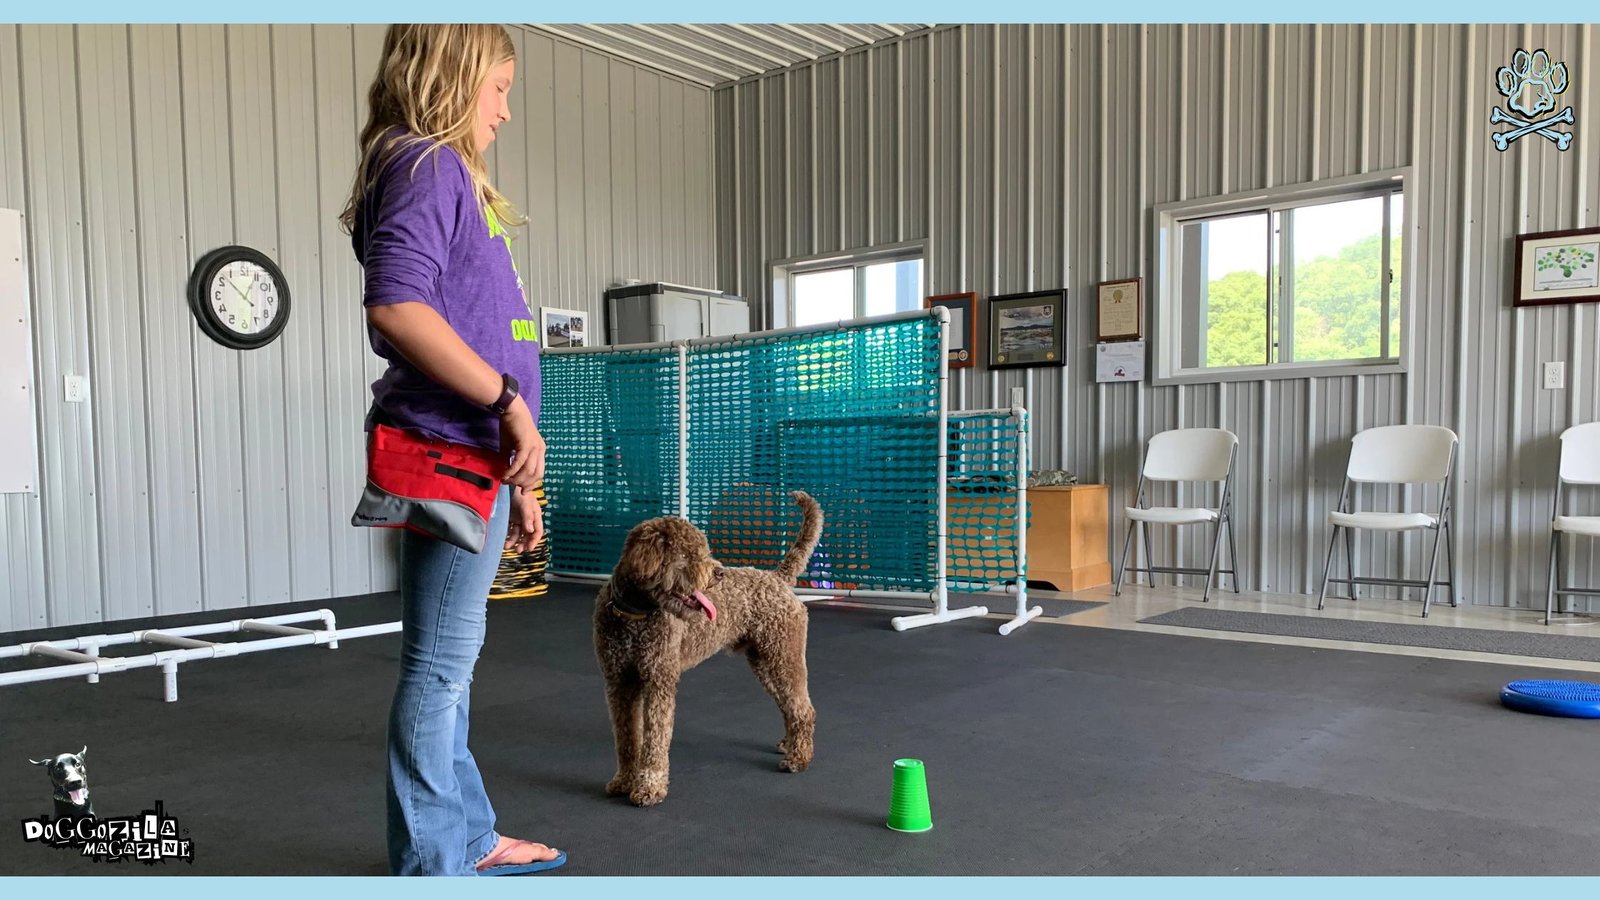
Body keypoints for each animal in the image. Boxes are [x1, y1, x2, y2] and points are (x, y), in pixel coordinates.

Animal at [598, 490, 825, 807]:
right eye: (686, 555)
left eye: (702, 549)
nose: (718, 572)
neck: (635, 616)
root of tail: (777, 578)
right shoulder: (619, 683)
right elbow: (626, 739)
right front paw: (623, 780)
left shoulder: (659, 681)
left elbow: (655, 740)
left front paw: (650, 787)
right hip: (765, 661)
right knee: (788, 706)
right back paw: (790, 744)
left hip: (784, 656)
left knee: (803, 709)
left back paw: (799, 758)